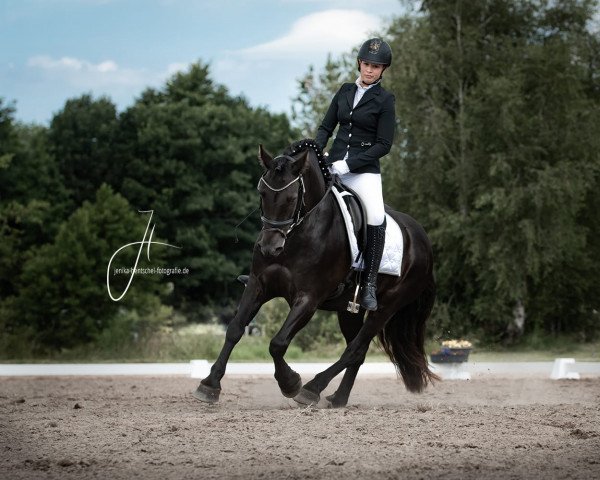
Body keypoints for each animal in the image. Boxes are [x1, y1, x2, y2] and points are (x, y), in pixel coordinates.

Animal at [195, 141, 438, 406]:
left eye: (292, 198)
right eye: (262, 193)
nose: (270, 248)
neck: (297, 234)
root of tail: (422, 238)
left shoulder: (308, 298)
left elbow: (278, 343)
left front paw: (290, 383)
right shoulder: (258, 285)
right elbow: (235, 330)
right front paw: (209, 385)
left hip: (386, 308)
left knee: (354, 349)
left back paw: (313, 388)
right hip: (348, 311)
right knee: (358, 351)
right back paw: (338, 398)